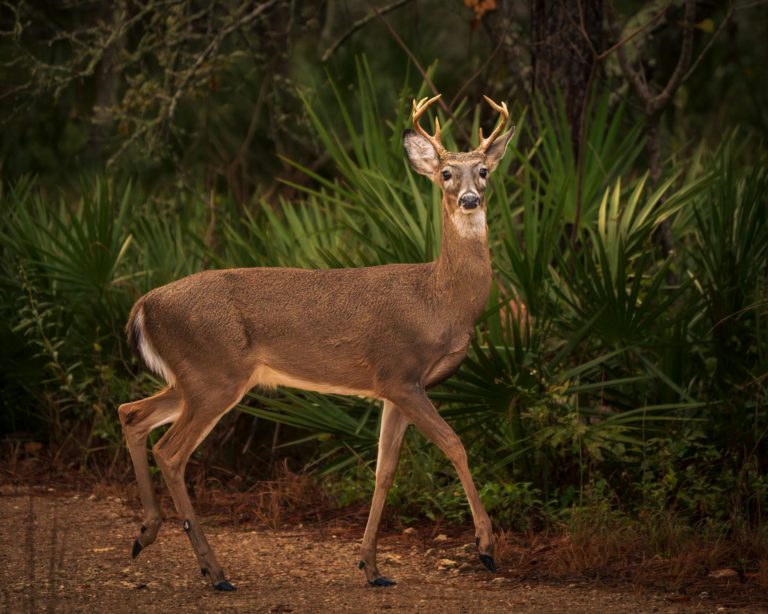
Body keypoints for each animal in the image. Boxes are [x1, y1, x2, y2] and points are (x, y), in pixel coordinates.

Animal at [118, 94, 514, 591]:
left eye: (483, 170)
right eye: (445, 172)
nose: (469, 199)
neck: (440, 299)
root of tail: (143, 306)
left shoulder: (394, 388)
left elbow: (385, 470)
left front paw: (371, 567)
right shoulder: (400, 373)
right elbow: (454, 443)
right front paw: (486, 547)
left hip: (195, 378)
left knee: (131, 413)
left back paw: (145, 534)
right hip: (214, 374)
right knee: (170, 452)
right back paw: (215, 572)